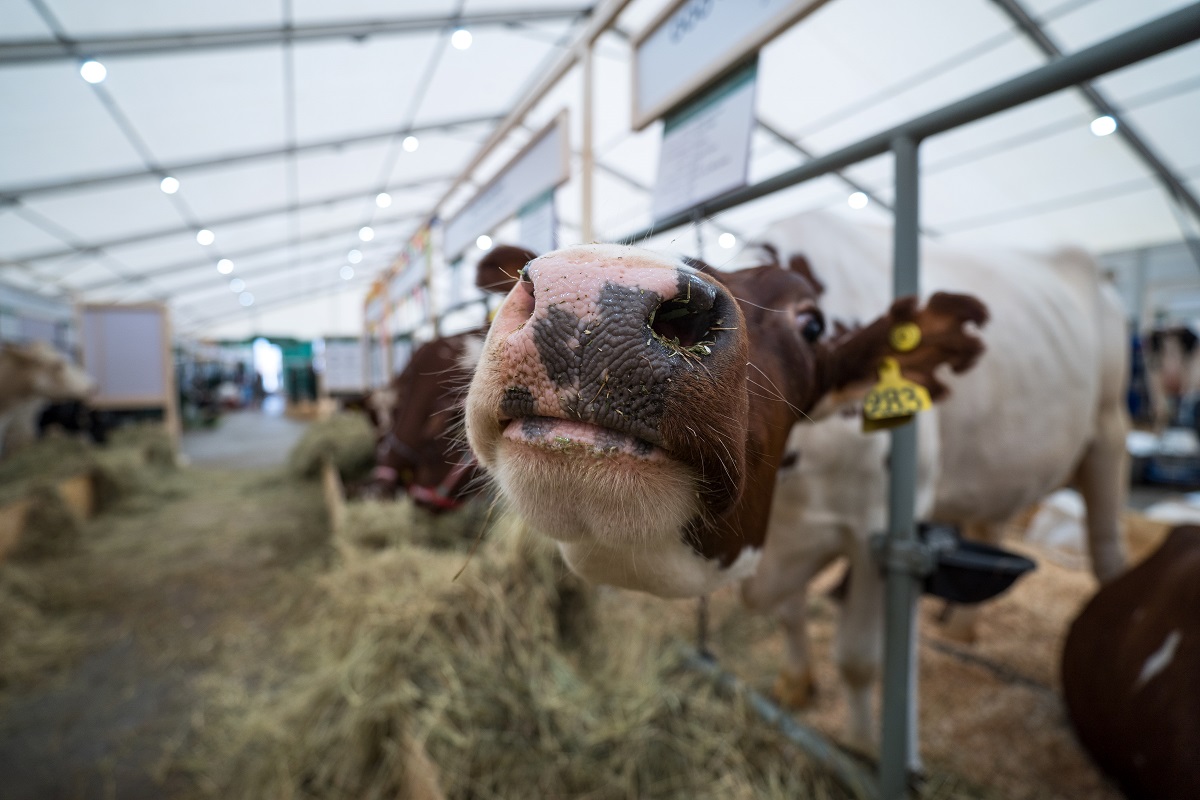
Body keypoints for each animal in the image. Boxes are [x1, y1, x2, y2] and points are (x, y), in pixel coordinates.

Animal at [734, 208, 1128, 758]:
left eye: (810, 328)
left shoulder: (876, 533)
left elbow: (857, 659)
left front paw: (861, 747)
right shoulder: (778, 530)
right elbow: (789, 612)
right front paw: (795, 685)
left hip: (1109, 431)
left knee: (1108, 550)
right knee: (989, 527)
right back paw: (962, 629)